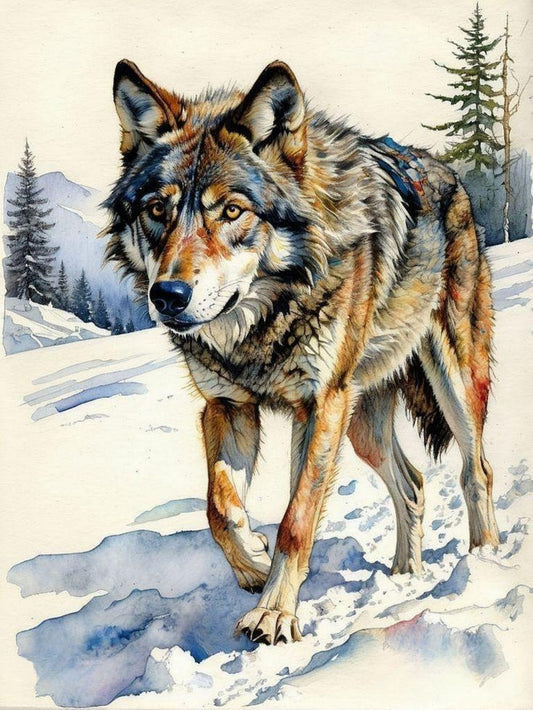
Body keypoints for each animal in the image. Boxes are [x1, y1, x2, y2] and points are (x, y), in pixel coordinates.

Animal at [103, 59, 500, 645]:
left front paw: (273, 614)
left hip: (450, 380)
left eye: (232, 211)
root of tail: (448, 174)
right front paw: (251, 561)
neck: (264, 319)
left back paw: (485, 565)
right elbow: (219, 508)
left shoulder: (320, 406)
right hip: (363, 426)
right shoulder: (227, 406)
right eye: (157, 210)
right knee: (412, 484)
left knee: (477, 471)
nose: (168, 296)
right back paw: (406, 576)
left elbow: (298, 517)